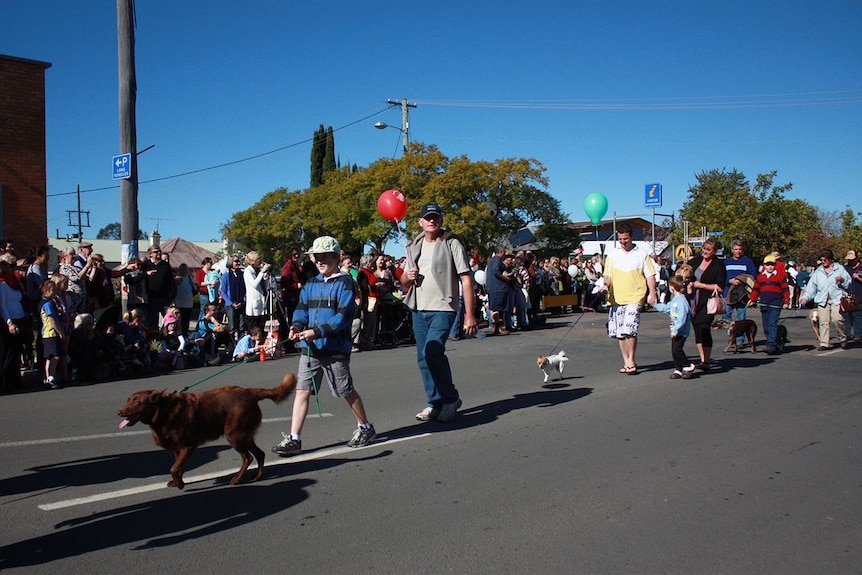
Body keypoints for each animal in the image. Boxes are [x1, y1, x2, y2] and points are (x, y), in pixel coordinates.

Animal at [116, 374, 296, 490]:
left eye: (137, 402)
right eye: (128, 400)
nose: (118, 412)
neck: (165, 411)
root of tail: (250, 391)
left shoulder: (188, 446)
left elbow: (173, 468)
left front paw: (180, 484)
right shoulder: (177, 449)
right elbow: (178, 466)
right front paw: (177, 481)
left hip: (234, 435)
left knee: (248, 457)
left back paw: (237, 479)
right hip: (245, 435)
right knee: (260, 454)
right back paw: (257, 476)